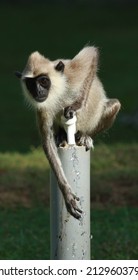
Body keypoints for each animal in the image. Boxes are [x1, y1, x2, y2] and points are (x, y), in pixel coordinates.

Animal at [15, 46, 121, 219]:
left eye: (43, 81)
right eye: (31, 83)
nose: (37, 91)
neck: (58, 92)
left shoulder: (71, 73)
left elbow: (91, 53)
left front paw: (77, 105)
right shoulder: (42, 107)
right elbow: (47, 141)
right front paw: (67, 193)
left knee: (115, 104)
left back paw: (84, 136)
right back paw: (62, 136)